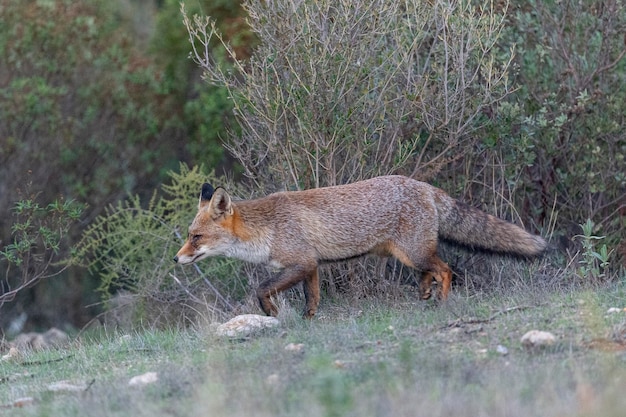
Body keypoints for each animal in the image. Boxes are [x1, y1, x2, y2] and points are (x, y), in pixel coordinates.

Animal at [173, 175, 544, 316]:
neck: (266, 229)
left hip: (414, 252)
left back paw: (442, 302)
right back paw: (425, 293)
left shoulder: (300, 262)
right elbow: (313, 297)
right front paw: (308, 321)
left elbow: (262, 289)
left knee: (446, 268)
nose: (177, 259)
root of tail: (423, 185)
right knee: (432, 270)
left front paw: (271, 313)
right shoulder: (312, 266)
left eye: (195, 237)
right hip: (408, 255)